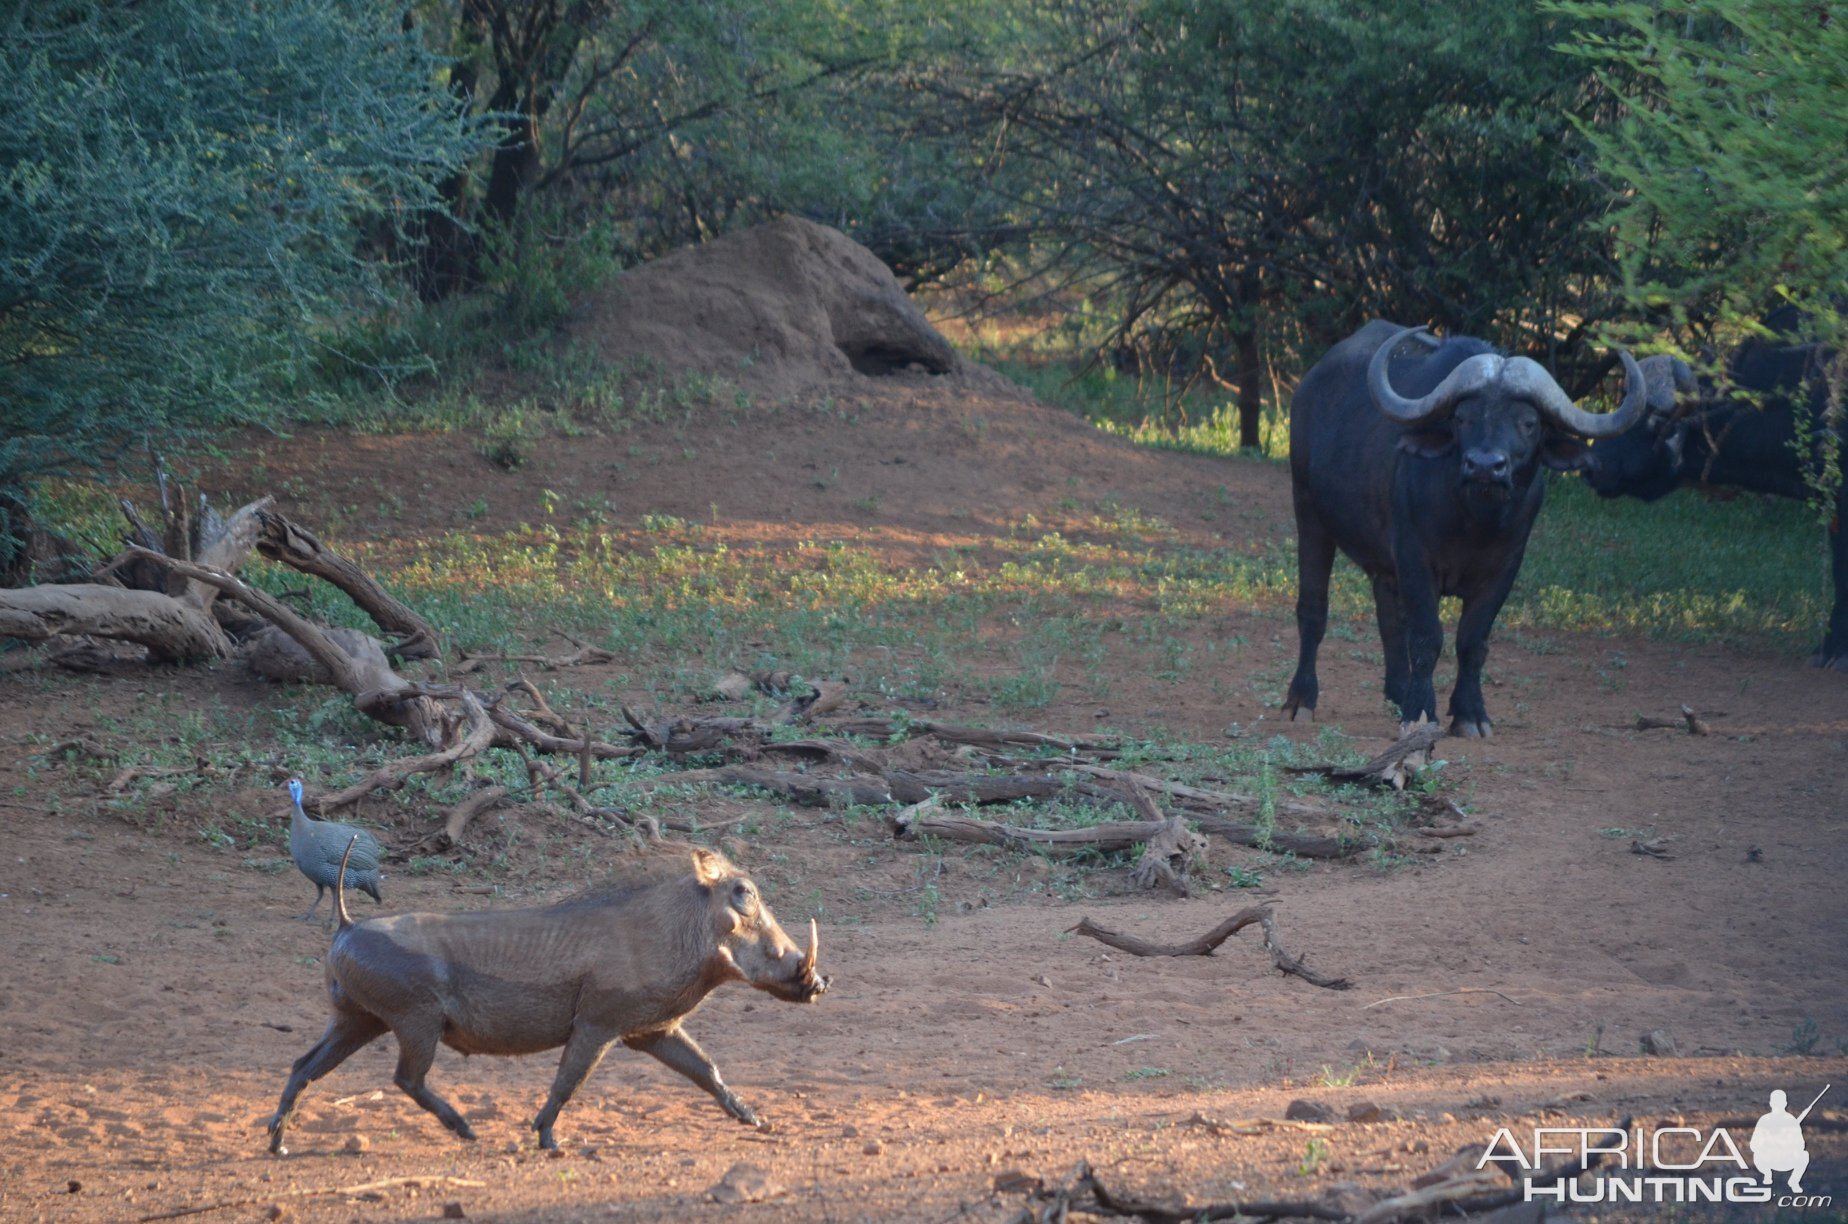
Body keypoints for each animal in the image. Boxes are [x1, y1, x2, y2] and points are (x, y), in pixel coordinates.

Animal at [1286, 318, 1648, 739]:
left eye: (1528, 423)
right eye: (1463, 418)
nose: (1485, 465)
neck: (1474, 520)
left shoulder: (1505, 567)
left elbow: (1472, 641)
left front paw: (1470, 713)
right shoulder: (1414, 557)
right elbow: (1426, 637)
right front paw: (1420, 712)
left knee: (1388, 617)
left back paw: (1398, 692)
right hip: (1309, 513)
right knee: (1314, 610)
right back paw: (1302, 698)